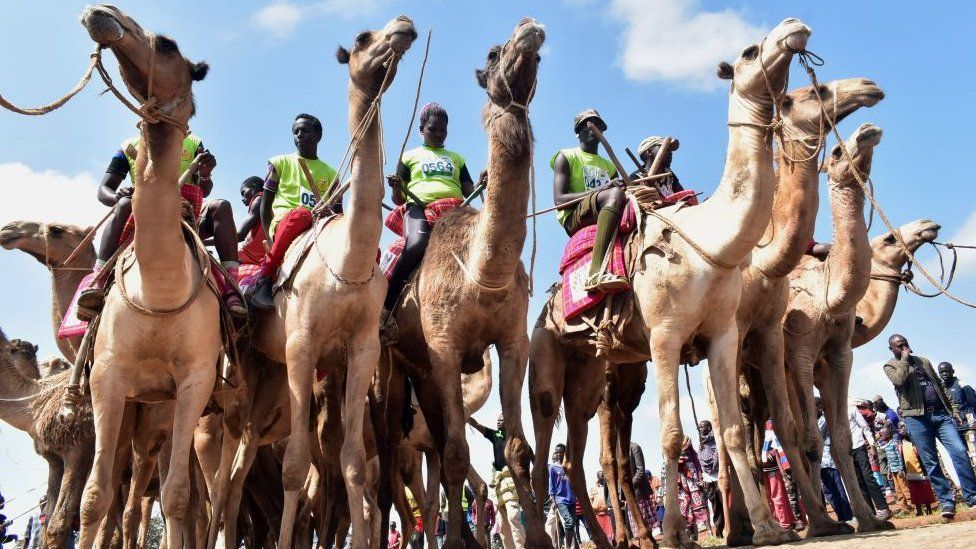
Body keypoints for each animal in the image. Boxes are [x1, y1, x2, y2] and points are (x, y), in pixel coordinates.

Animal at [75, 6, 219, 548]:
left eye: (169, 45)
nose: (102, 14)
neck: (159, 292)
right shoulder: (108, 376)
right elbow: (94, 497)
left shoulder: (195, 382)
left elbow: (177, 495)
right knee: (120, 485)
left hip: (158, 409)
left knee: (147, 487)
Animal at [248, 15, 417, 548]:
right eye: (363, 39)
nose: (404, 25)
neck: (348, 263)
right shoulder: (301, 344)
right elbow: (294, 467)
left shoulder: (360, 349)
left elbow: (354, 464)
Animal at [382, 18, 543, 548]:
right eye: (493, 54)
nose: (529, 28)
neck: (481, 272)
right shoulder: (445, 346)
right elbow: (455, 454)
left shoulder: (513, 339)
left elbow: (516, 448)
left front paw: (539, 537)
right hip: (398, 368)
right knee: (398, 461)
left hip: (424, 374)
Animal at [526, 18, 813, 548]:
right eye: (749, 50)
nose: (794, 27)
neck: (710, 243)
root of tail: (547, 307)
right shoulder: (663, 335)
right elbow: (673, 434)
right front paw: (679, 532)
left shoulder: (722, 333)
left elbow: (733, 429)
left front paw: (765, 527)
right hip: (547, 357)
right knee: (539, 444)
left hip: (590, 376)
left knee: (575, 456)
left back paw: (613, 539)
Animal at [783, 122, 893, 531]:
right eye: (834, 151)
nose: (868, 130)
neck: (829, 295)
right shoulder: (800, 349)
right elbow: (813, 442)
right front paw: (825, 524)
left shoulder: (839, 353)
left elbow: (842, 439)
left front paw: (870, 520)